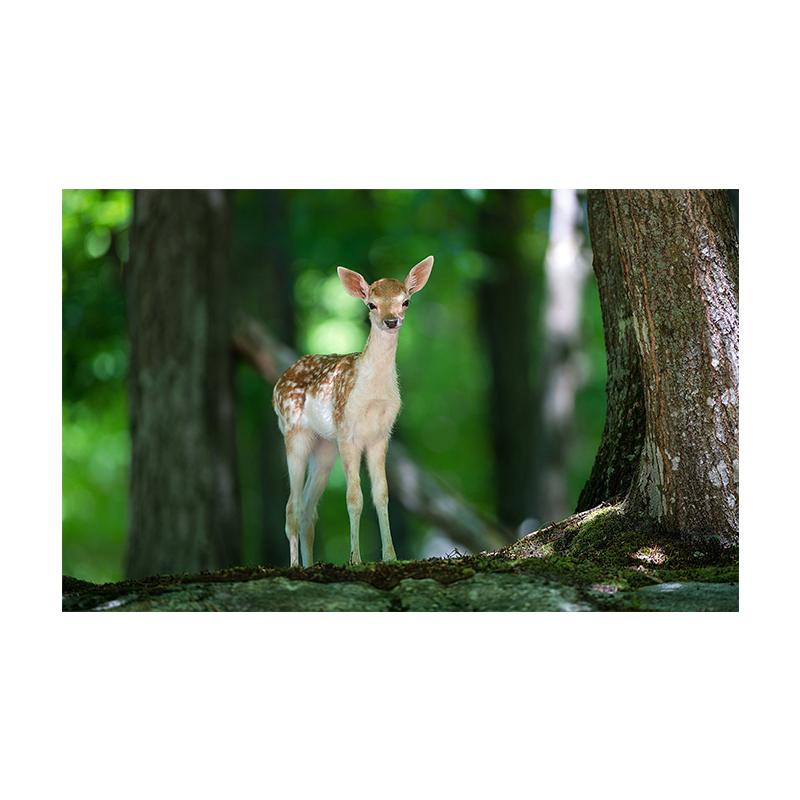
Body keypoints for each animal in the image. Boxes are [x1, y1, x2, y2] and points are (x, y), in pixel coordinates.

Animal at [272, 256, 434, 568]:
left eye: (405, 301)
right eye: (371, 304)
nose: (391, 321)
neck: (372, 395)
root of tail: (278, 383)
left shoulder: (381, 435)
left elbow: (381, 494)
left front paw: (391, 557)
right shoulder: (347, 431)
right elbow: (354, 497)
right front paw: (355, 559)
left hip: (325, 446)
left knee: (308, 509)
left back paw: (310, 564)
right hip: (294, 432)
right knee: (291, 505)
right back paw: (295, 565)